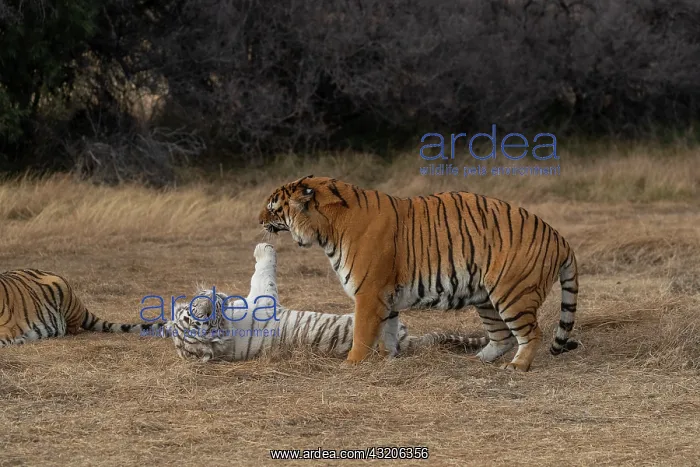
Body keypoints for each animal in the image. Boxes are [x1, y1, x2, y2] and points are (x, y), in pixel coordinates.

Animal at [167, 243, 488, 362]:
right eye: (198, 321)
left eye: (190, 315)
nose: (210, 300)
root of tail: (411, 342)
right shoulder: (263, 300)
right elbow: (263, 275)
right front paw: (264, 247)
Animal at [258, 175, 580, 372]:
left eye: (273, 207)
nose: (259, 220)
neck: (327, 228)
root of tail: (559, 237)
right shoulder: (386, 297)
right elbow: (387, 332)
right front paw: (387, 359)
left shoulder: (369, 293)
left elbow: (362, 333)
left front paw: (351, 364)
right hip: (487, 298)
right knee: (502, 336)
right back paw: (476, 360)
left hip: (513, 293)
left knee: (531, 333)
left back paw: (517, 366)